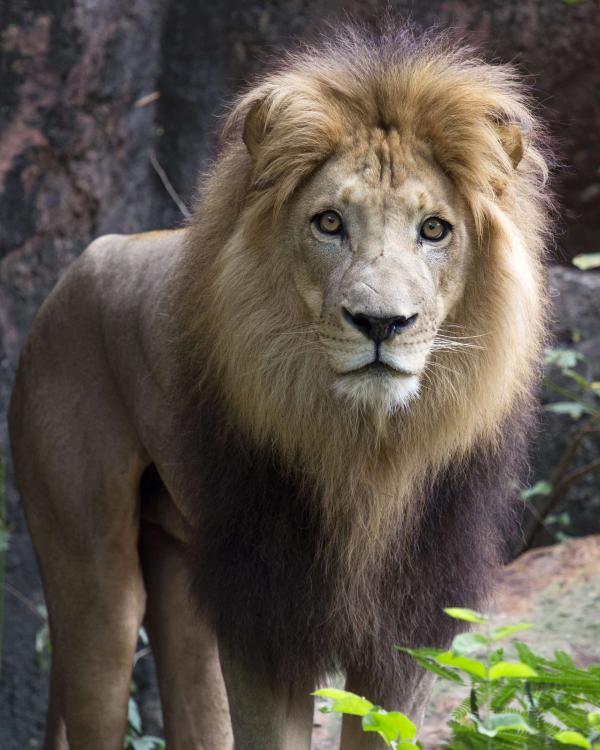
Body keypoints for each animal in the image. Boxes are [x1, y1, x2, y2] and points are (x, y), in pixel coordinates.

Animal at [9, 25, 550, 750]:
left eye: (434, 229)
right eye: (329, 223)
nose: (381, 322)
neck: (367, 455)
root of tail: (86, 260)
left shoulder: (410, 628)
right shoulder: (265, 615)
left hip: (184, 564)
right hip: (95, 575)